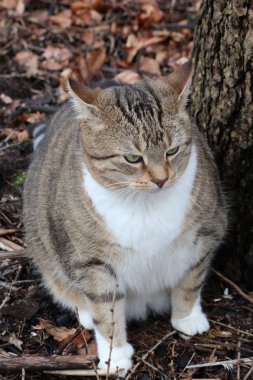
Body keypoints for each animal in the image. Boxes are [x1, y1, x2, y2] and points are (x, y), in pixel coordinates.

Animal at [23, 60, 227, 376]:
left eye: (172, 150)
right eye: (132, 158)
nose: (161, 179)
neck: (144, 204)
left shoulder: (205, 233)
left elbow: (190, 279)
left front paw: (187, 318)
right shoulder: (92, 262)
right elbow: (105, 309)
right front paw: (114, 356)